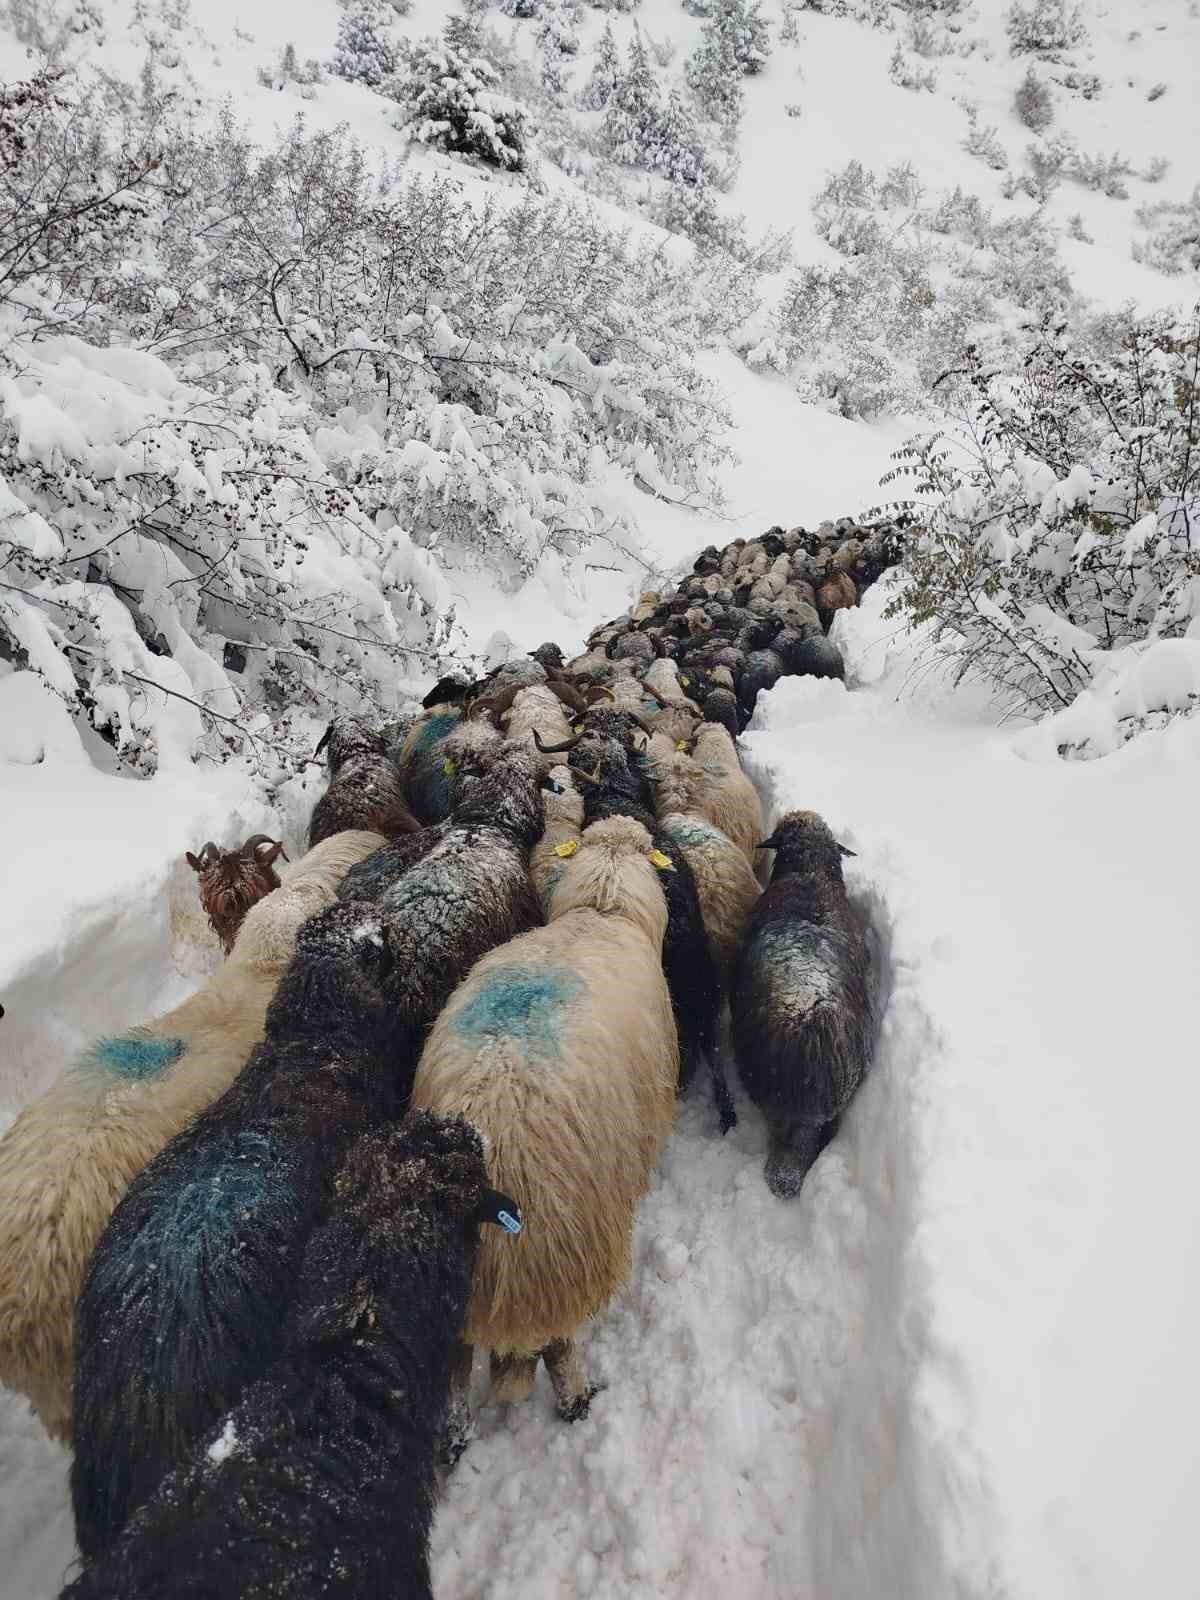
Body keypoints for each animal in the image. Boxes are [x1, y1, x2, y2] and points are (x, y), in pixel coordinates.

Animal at [412, 819, 678, 1420]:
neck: (602, 909)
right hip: (561, 1255)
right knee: (560, 1347)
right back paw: (579, 1400)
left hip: (460, 1296)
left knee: (456, 1374)